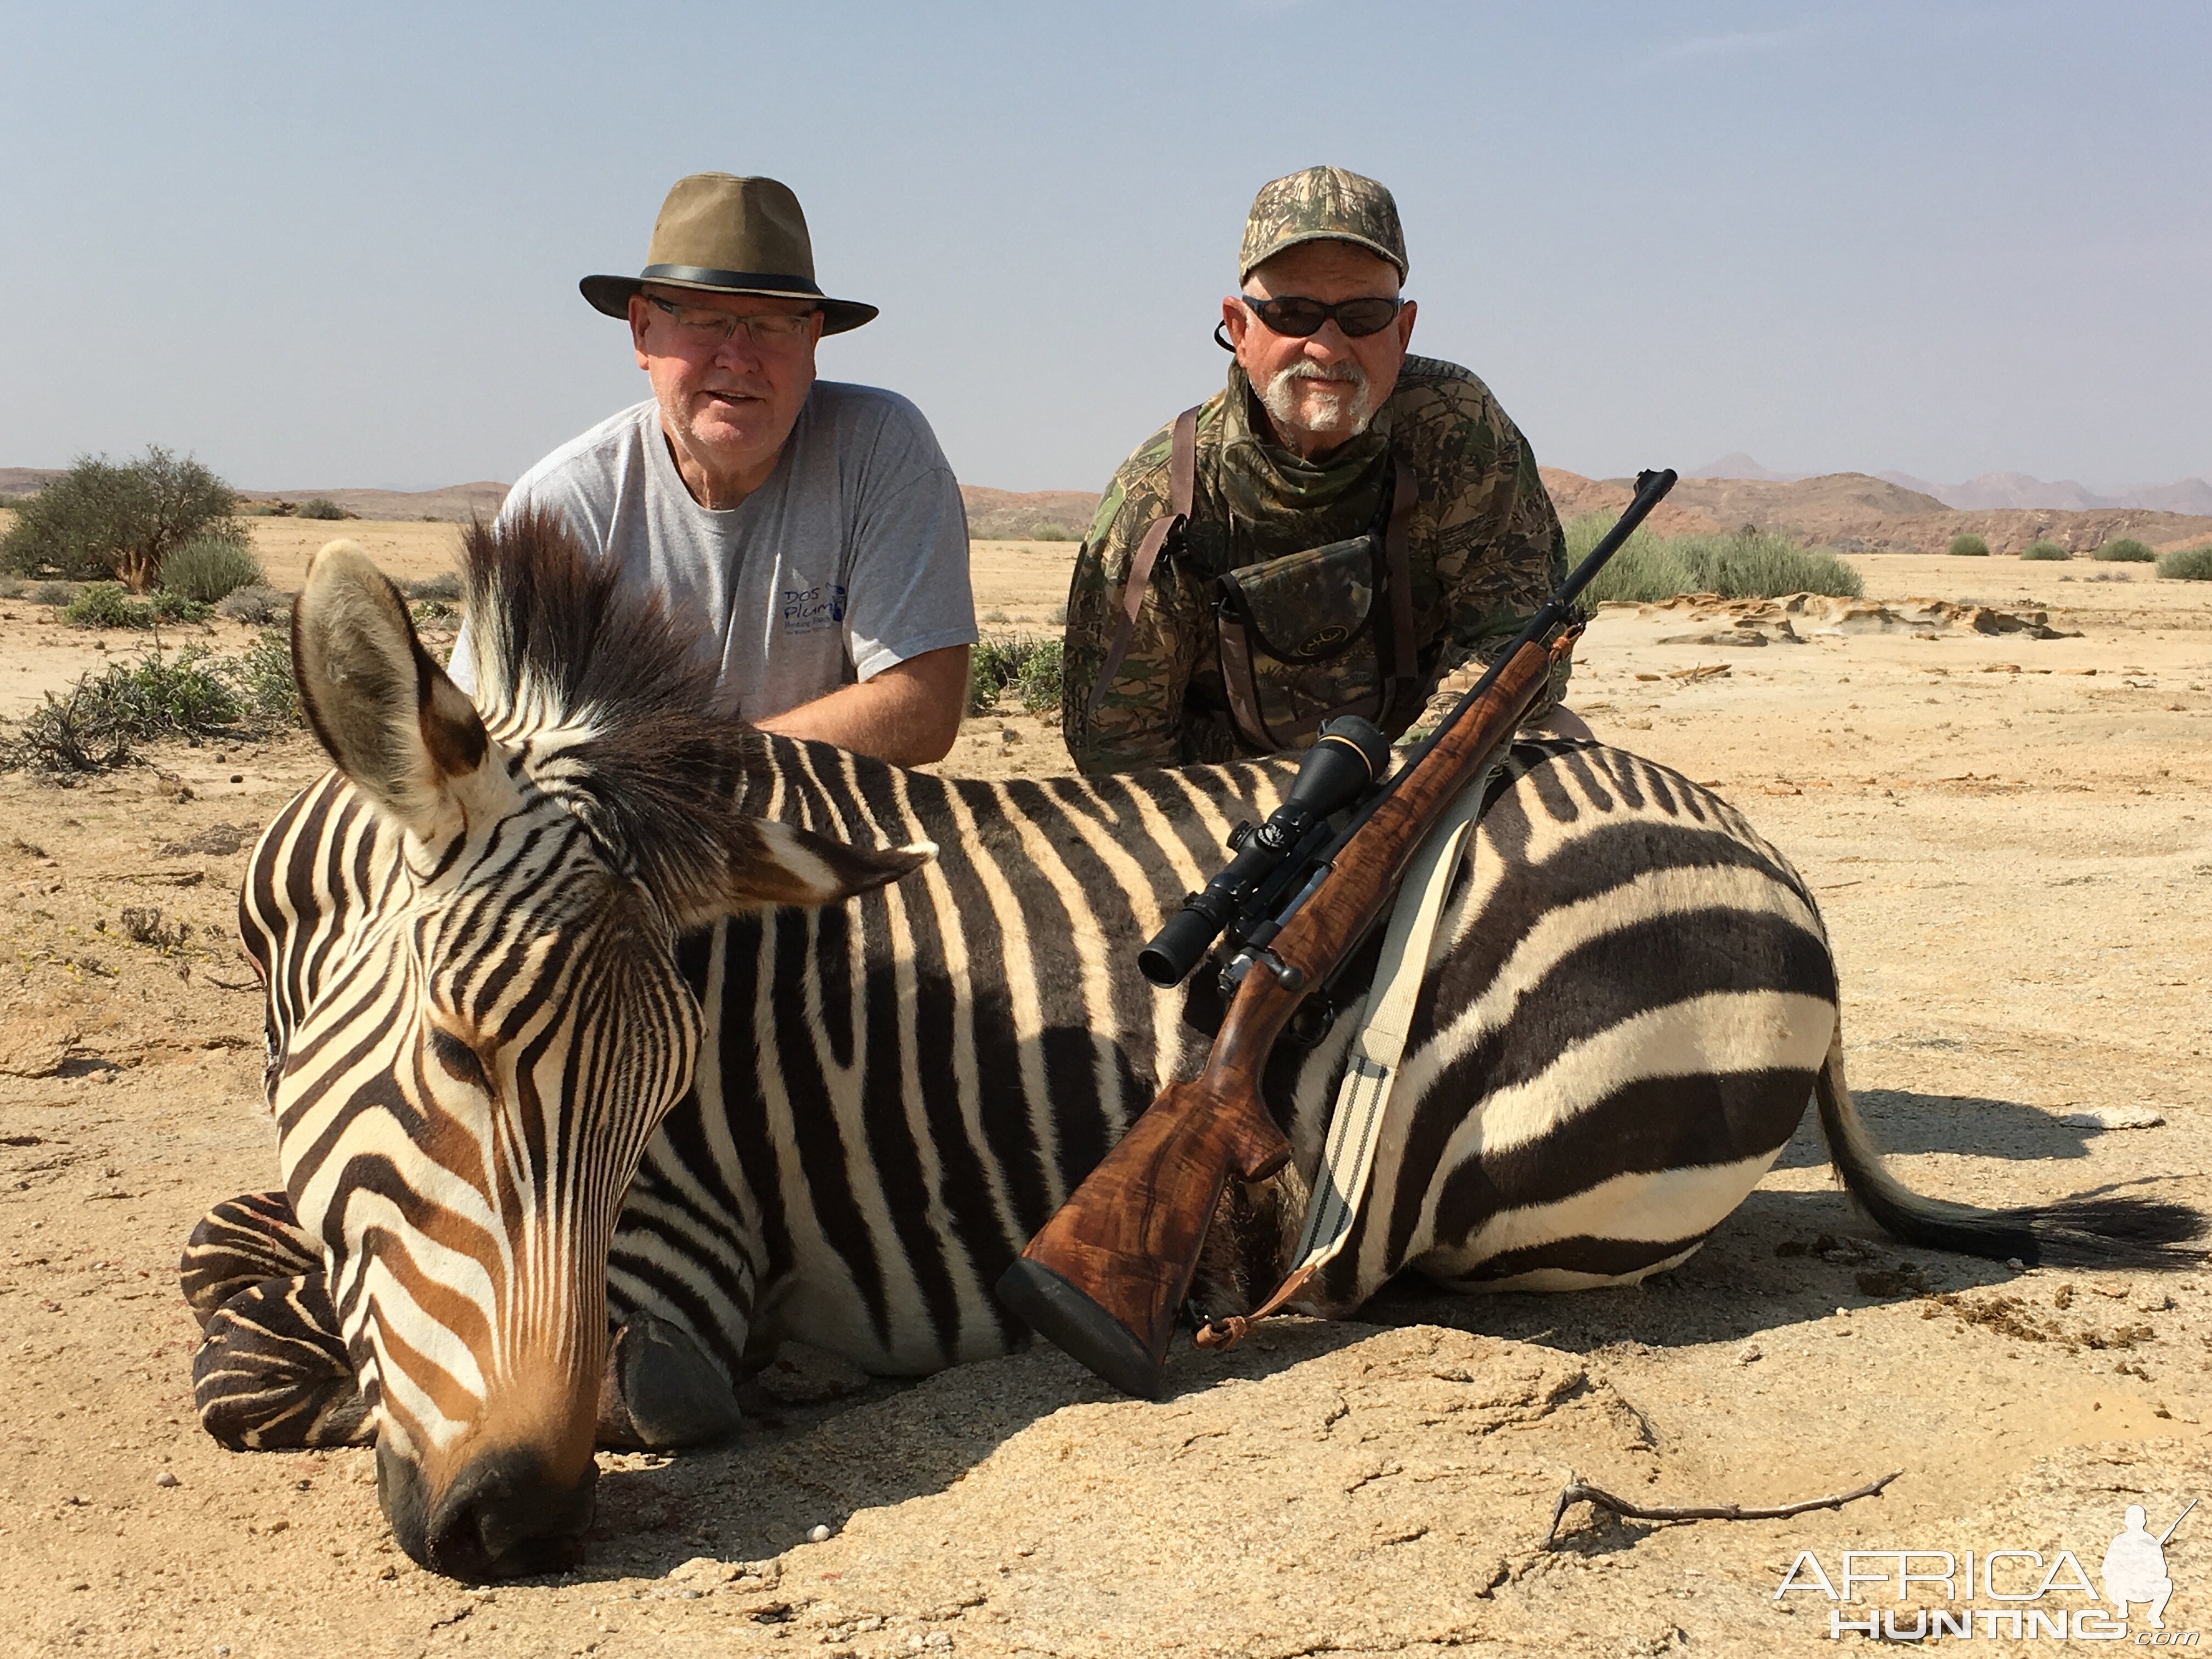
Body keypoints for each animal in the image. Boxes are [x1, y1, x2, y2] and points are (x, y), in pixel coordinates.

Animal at [181, 513, 2203, 1575]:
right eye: (460, 1055)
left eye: (656, 1100)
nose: (512, 1527)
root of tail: (1770, 855)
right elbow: (234, 1275)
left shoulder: (675, 1268)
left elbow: (326, 1359)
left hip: (1510, 1171)